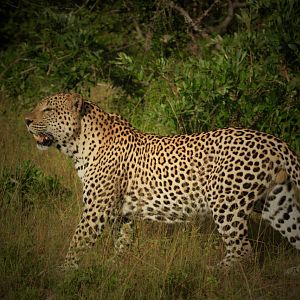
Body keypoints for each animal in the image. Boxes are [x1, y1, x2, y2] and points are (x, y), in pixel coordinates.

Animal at [24, 92, 298, 274]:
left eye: (47, 110)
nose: (26, 120)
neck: (78, 143)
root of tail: (276, 142)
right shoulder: (122, 213)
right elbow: (123, 242)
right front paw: (115, 267)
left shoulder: (97, 209)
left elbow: (78, 241)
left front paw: (63, 273)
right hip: (276, 203)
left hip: (226, 201)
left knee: (243, 249)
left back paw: (210, 272)